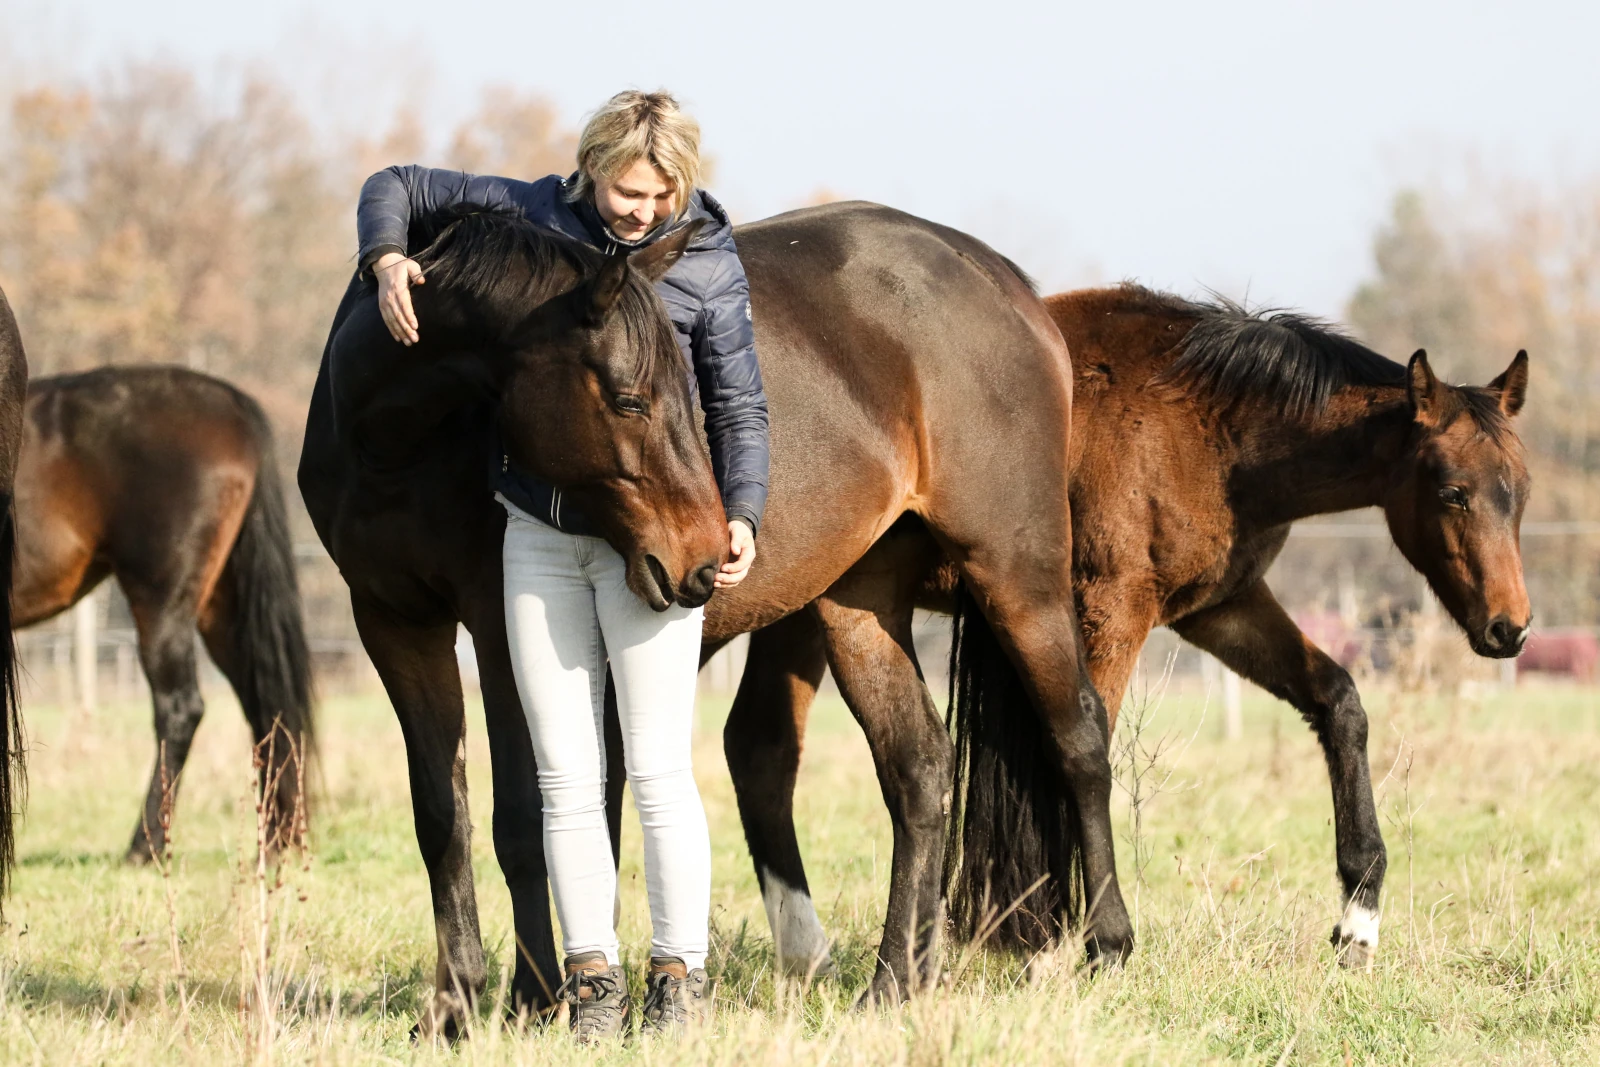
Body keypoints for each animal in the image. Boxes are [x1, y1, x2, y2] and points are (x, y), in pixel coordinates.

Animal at [12, 365, 315, 862]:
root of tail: (233, 404)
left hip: (163, 601)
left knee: (179, 709)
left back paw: (145, 845)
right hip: (222, 606)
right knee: (265, 707)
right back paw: (275, 839)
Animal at [300, 201, 1126, 1034]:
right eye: (630, 397)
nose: (703, 558)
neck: (397, 442)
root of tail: (1000, 280)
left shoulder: (500, 629)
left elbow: (524, 819)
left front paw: (529, 997)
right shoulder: (393, 625)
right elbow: (442, 816)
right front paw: (456, 1003)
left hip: (1016, 570)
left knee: (1078, 735)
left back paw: (1108, 942)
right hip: (859, 602)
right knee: (918, 767)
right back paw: (898, 979)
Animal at [724, 283, 1532, 976]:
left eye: (1519, 492)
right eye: (1453, 492)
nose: (1511, 628)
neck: (1203, 426)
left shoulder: (1220, 607)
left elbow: (1339, 701)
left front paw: (1358, 918)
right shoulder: (1112, 608)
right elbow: (1083, 748)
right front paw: (1067, 941)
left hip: (803, 614)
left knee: (759, 748)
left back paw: (809, 958)